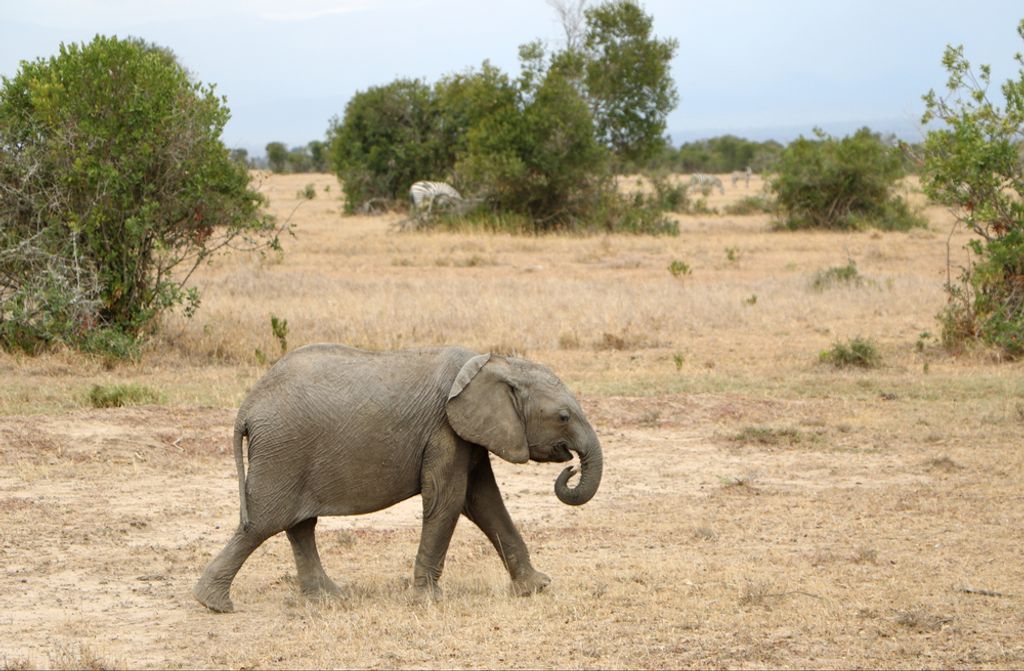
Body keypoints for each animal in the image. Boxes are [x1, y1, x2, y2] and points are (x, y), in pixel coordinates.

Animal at [193, 344, 603, 613]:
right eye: (563, 417)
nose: (570, 466)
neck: (493, 362)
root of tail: (246, 409)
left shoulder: (468, 433)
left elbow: (484, 501)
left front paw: (536, 588)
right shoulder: (445, 429)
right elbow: (448, 499)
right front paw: (427, 601)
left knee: (298, 526)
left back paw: (330, 598)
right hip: (283, 452)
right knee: (263, 524)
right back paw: (214, 605)